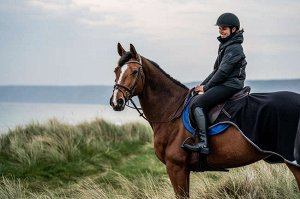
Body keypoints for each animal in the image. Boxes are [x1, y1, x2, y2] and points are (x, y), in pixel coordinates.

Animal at [109, 43, 300, 197]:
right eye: (116, 71)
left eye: (134, 72)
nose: (116, 101)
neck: (171, 112)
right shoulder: (183, 170)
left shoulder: (176, 167)